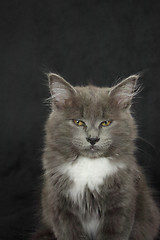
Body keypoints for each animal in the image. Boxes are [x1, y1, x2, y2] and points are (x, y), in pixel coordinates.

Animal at [33, 73, 159, 240]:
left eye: (106, 123)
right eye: (78, 122)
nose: (93, 139)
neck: (89, 164)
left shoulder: (121, 204)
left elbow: (114, 233)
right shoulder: (61, 206)